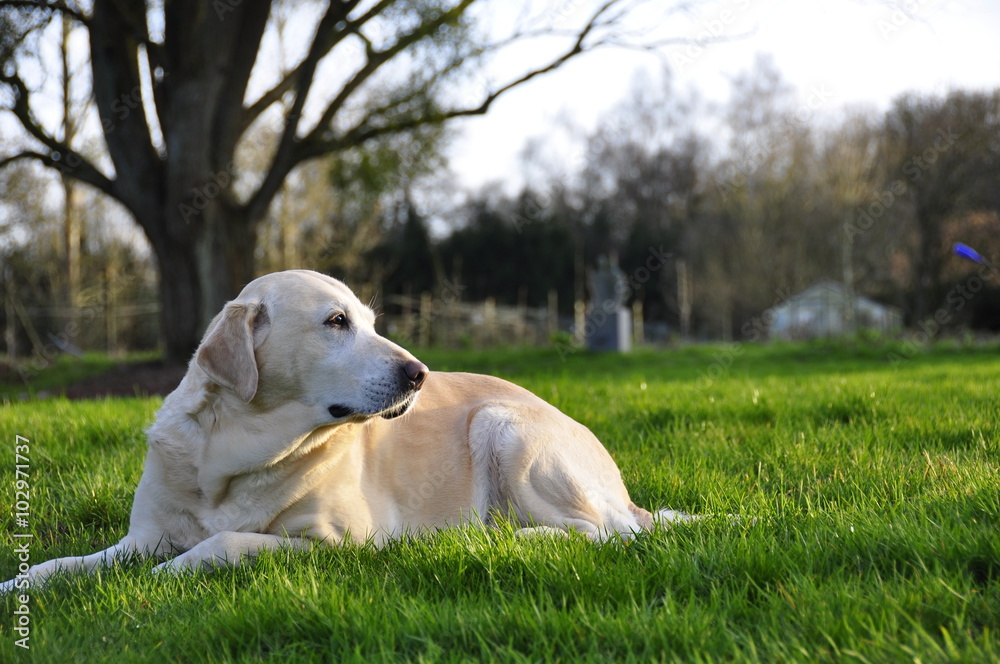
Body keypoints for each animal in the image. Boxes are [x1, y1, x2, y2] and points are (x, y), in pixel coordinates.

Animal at [1, 270, 688, 592]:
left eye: (371, 321)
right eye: (337, 322)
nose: (419, 374)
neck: (232, 456)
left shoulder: (337, 544)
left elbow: (225, 542)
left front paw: (169, 575)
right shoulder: (140, 537)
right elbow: (59, 565)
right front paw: (17, 584)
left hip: (506, 428)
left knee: (597, 534)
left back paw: (504, 537)